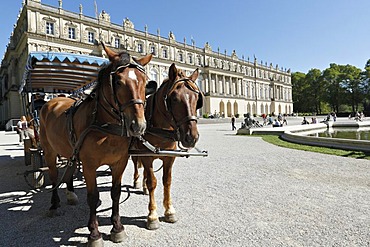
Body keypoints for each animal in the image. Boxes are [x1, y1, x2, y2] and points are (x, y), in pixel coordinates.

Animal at [40, 43, 155, 246]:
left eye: (145, 81)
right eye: (118, 81)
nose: (138, 126)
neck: (106, 128)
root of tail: (53, 100)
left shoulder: (119, 163)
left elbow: (115, 193)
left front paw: (117, 227)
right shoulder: (89, 165)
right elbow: (93, 197)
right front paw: (94, 233)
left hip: (71, 151)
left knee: (69, 170)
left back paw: (70, 194)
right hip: (49, 151)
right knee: (54, 176)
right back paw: (54, 204)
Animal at [132, 63, 204, 230]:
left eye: (197, 99)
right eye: (174, 99)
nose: (191, 137)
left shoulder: (169, 157)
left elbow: (167, 181)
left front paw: (169, 210)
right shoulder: (147, 157)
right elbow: (152, 182)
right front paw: (152, 216)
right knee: (137, 168)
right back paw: (137, 182)